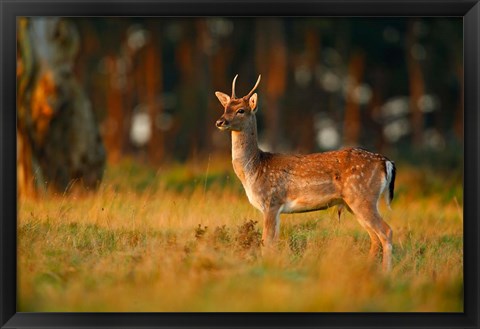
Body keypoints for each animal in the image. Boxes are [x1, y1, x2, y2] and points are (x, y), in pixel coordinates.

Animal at [216, 74, 396, 270]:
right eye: (225, 107)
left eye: (241, 110)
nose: (220, 121)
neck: (254, 169)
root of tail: (386, 162)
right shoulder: (275, 208)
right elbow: (273, 242)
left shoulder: (271, 201)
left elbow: (267, 243)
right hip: (353, 202)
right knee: (375, 238)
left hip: (363, 197)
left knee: (386, 231)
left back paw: (386, 272)